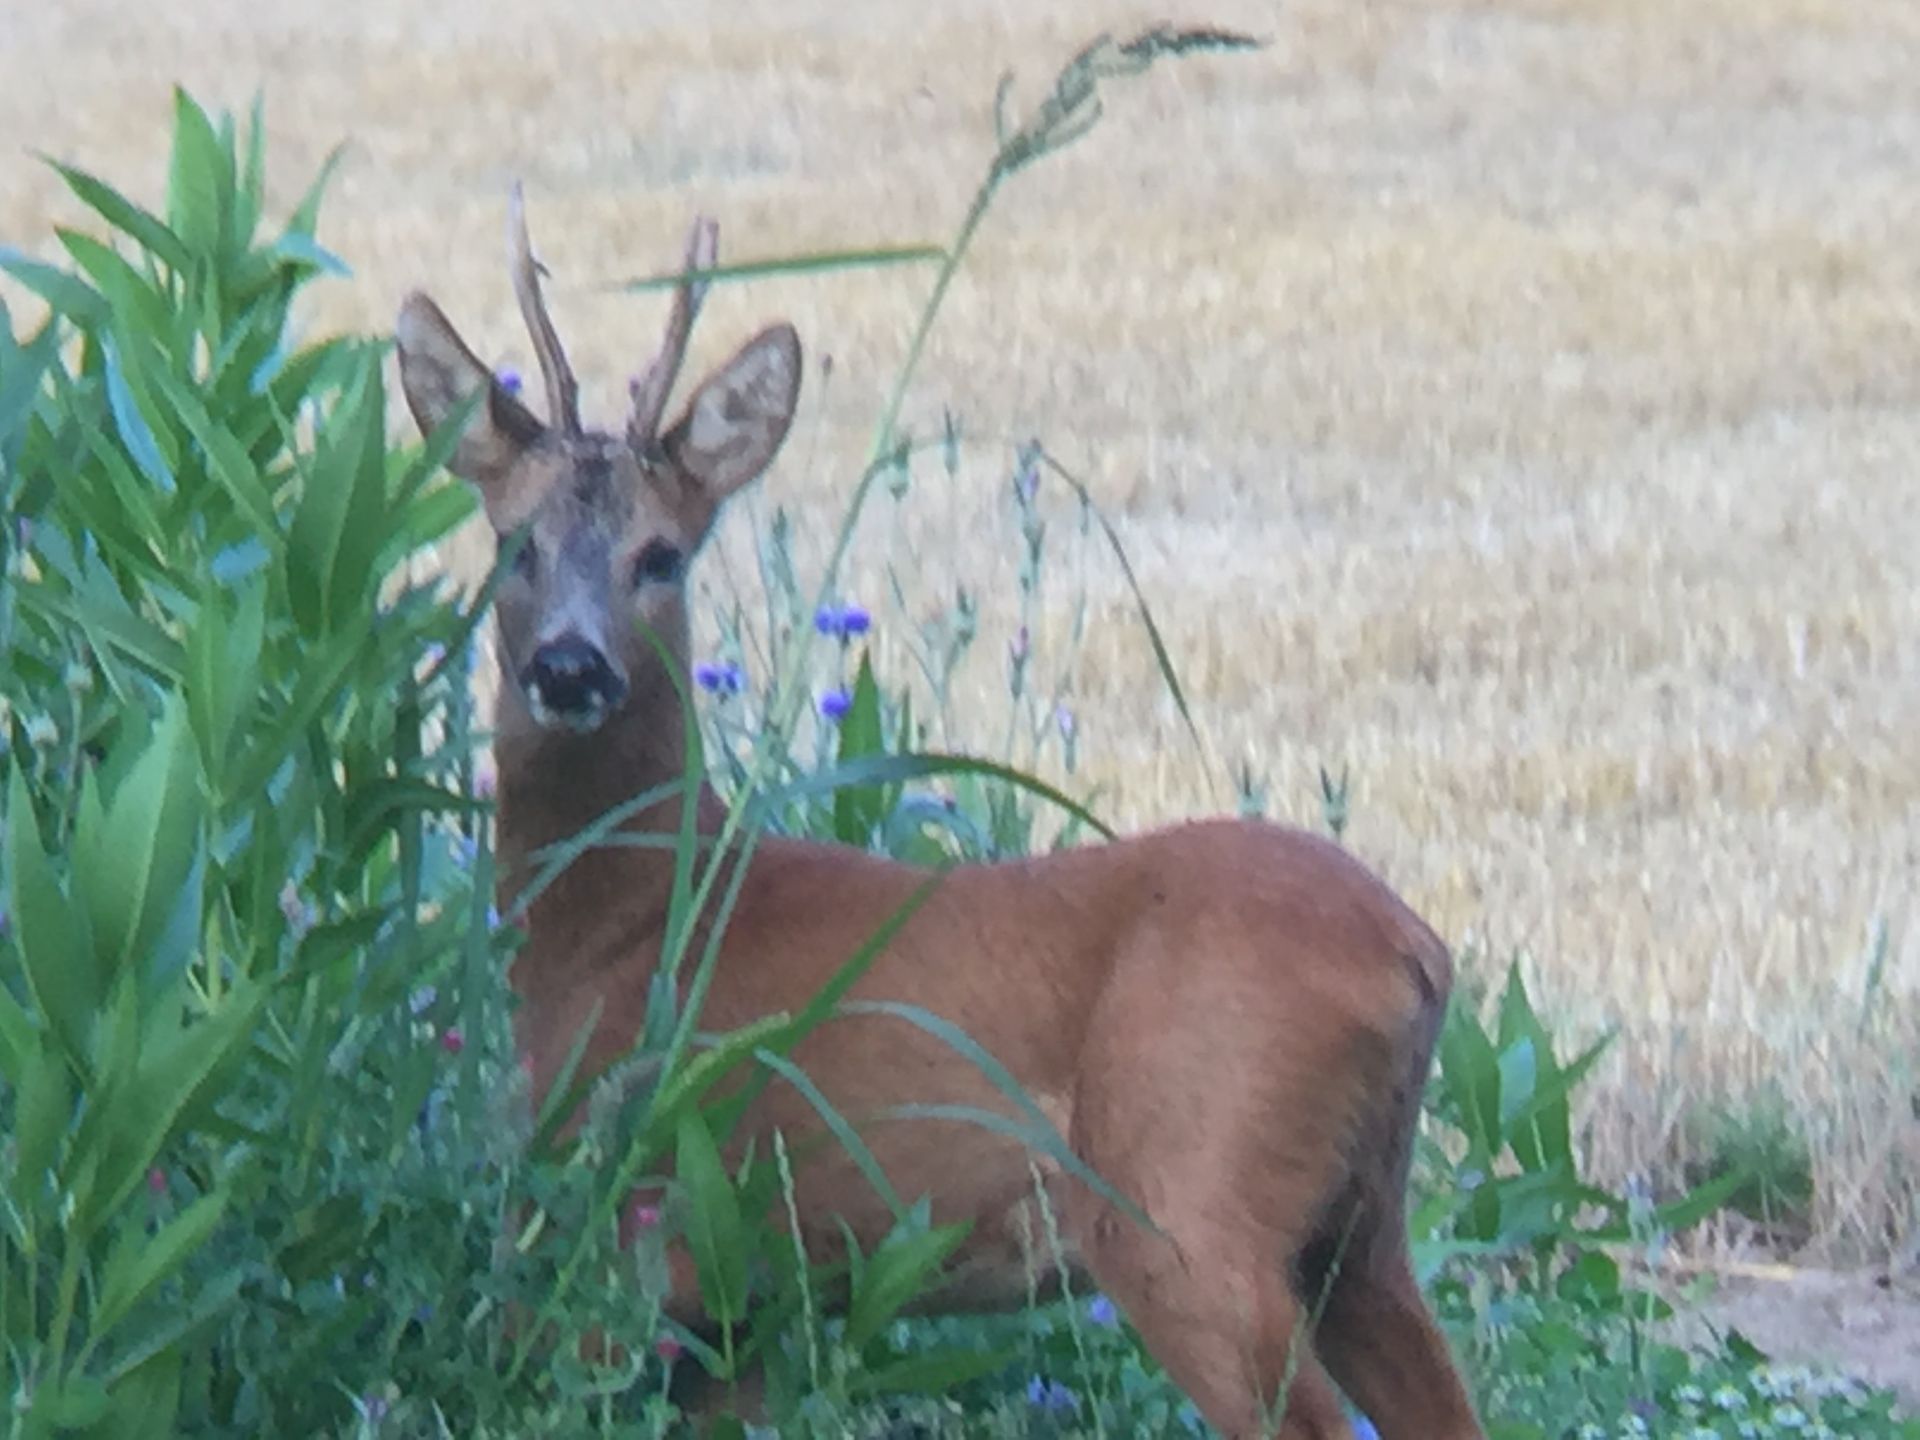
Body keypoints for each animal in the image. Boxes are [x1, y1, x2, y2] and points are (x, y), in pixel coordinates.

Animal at [392, 187, 1487, 1440]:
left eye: (660, 555)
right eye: (512, 542)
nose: (571, 668)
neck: (627, 917)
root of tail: (1415, 951)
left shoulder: (613, 1226)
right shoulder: (746, 1297)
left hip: (1187, 1199)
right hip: (1364, 1229)